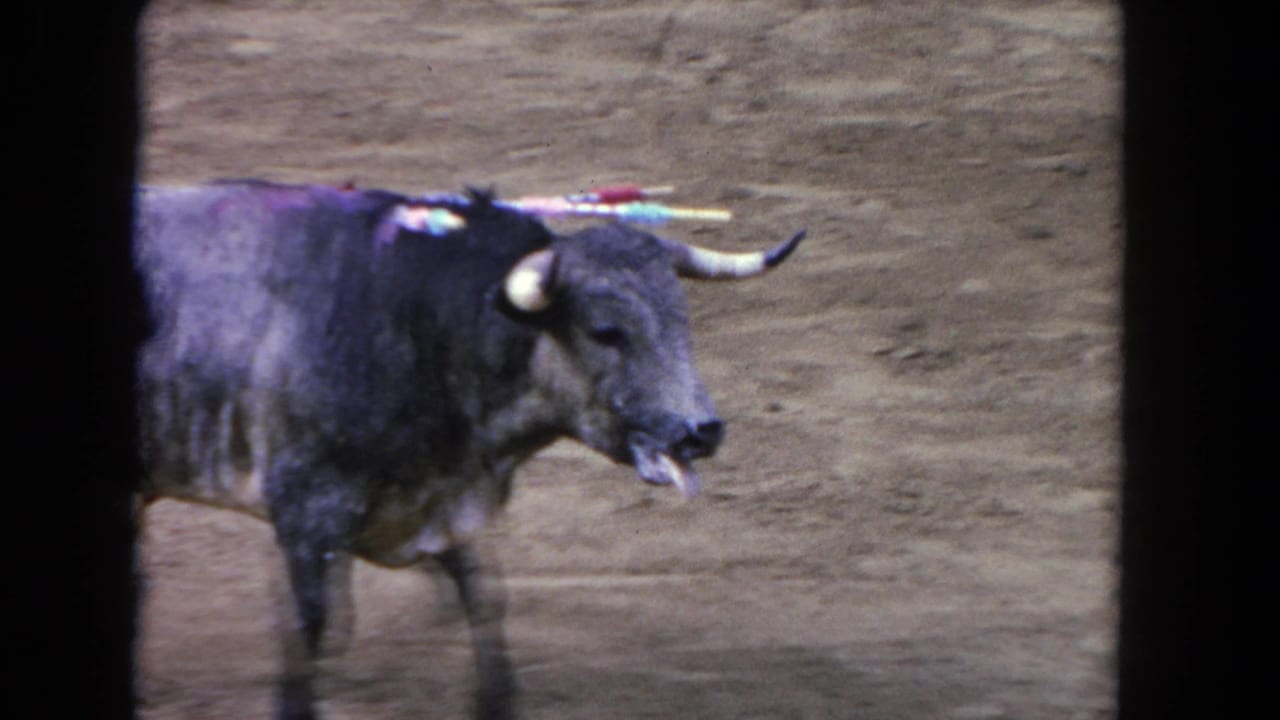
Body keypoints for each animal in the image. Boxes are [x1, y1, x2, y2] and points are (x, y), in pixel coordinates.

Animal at [133, 179, 804, 720]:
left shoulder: (445, 504)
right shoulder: (307, 515)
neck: (417, 321)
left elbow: (484, 600)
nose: (701, 430)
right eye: (606, 331)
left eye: (682, 318)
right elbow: (309, 629)